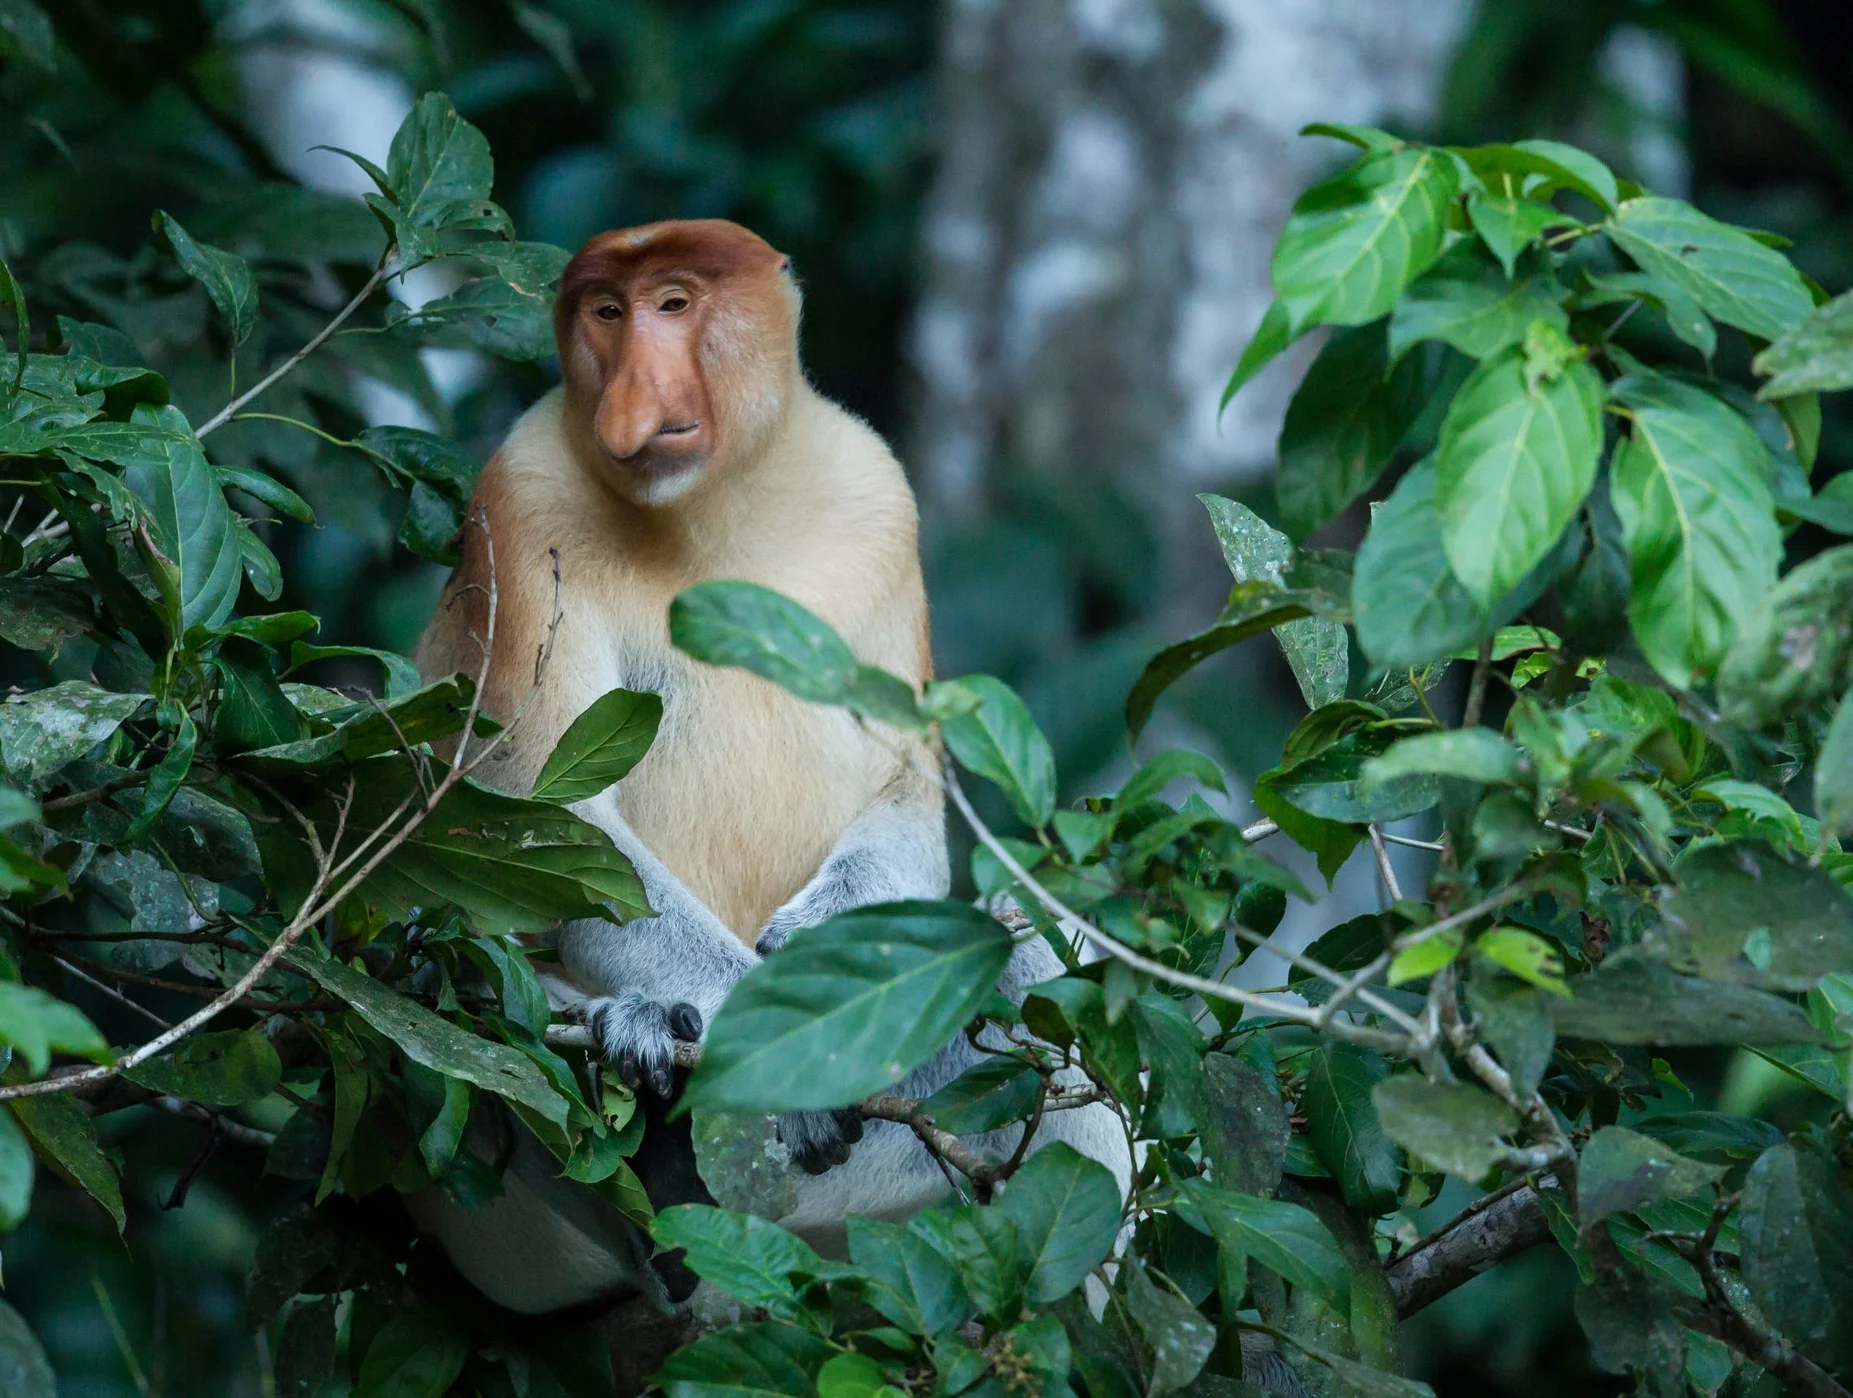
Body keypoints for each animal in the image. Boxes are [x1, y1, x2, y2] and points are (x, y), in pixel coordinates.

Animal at [407, 219, 1128, 1316]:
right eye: (604, 313)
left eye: (673, 303)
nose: (630, 399)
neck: (715, 517)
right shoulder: (520, 502)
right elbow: (544, 827)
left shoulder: (880, 499)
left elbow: (905, 796)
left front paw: (812, 948)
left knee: (1032, 940)